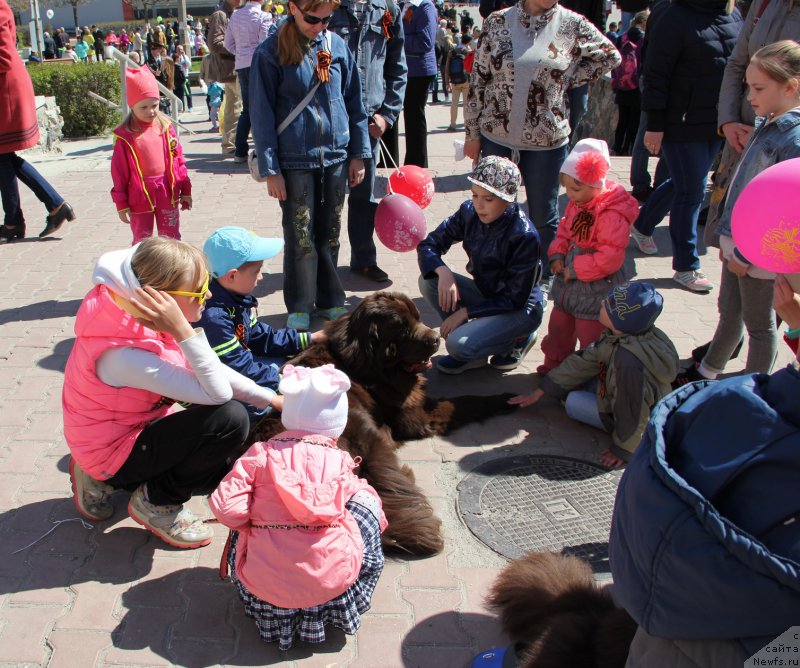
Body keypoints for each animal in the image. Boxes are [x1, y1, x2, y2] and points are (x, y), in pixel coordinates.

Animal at [247, 290, 516, 556]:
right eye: (402, 328)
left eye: (417, 317)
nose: (436, 337)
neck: (363, 361)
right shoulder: (416, 415)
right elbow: (464, 402)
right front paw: (505, 398)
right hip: (367, 441)